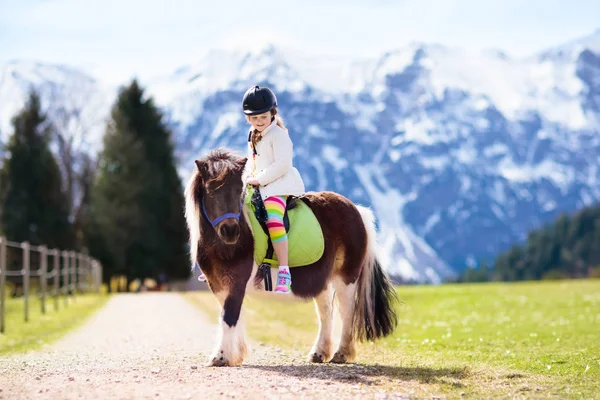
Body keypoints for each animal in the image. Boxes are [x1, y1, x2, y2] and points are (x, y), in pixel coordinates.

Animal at [183, 148, 398, 368]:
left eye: (237, 191)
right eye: (211, 191)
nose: (230, 231)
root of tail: (357, 210)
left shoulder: (237, 282)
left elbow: (229, 315)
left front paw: (220, 357)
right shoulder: (217, 284)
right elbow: (233, 315)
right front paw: (237, 355)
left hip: (346, 277)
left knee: (346, 312)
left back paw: (341, 354)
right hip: (322, 280)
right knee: (325, 313)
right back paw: (319, 353)